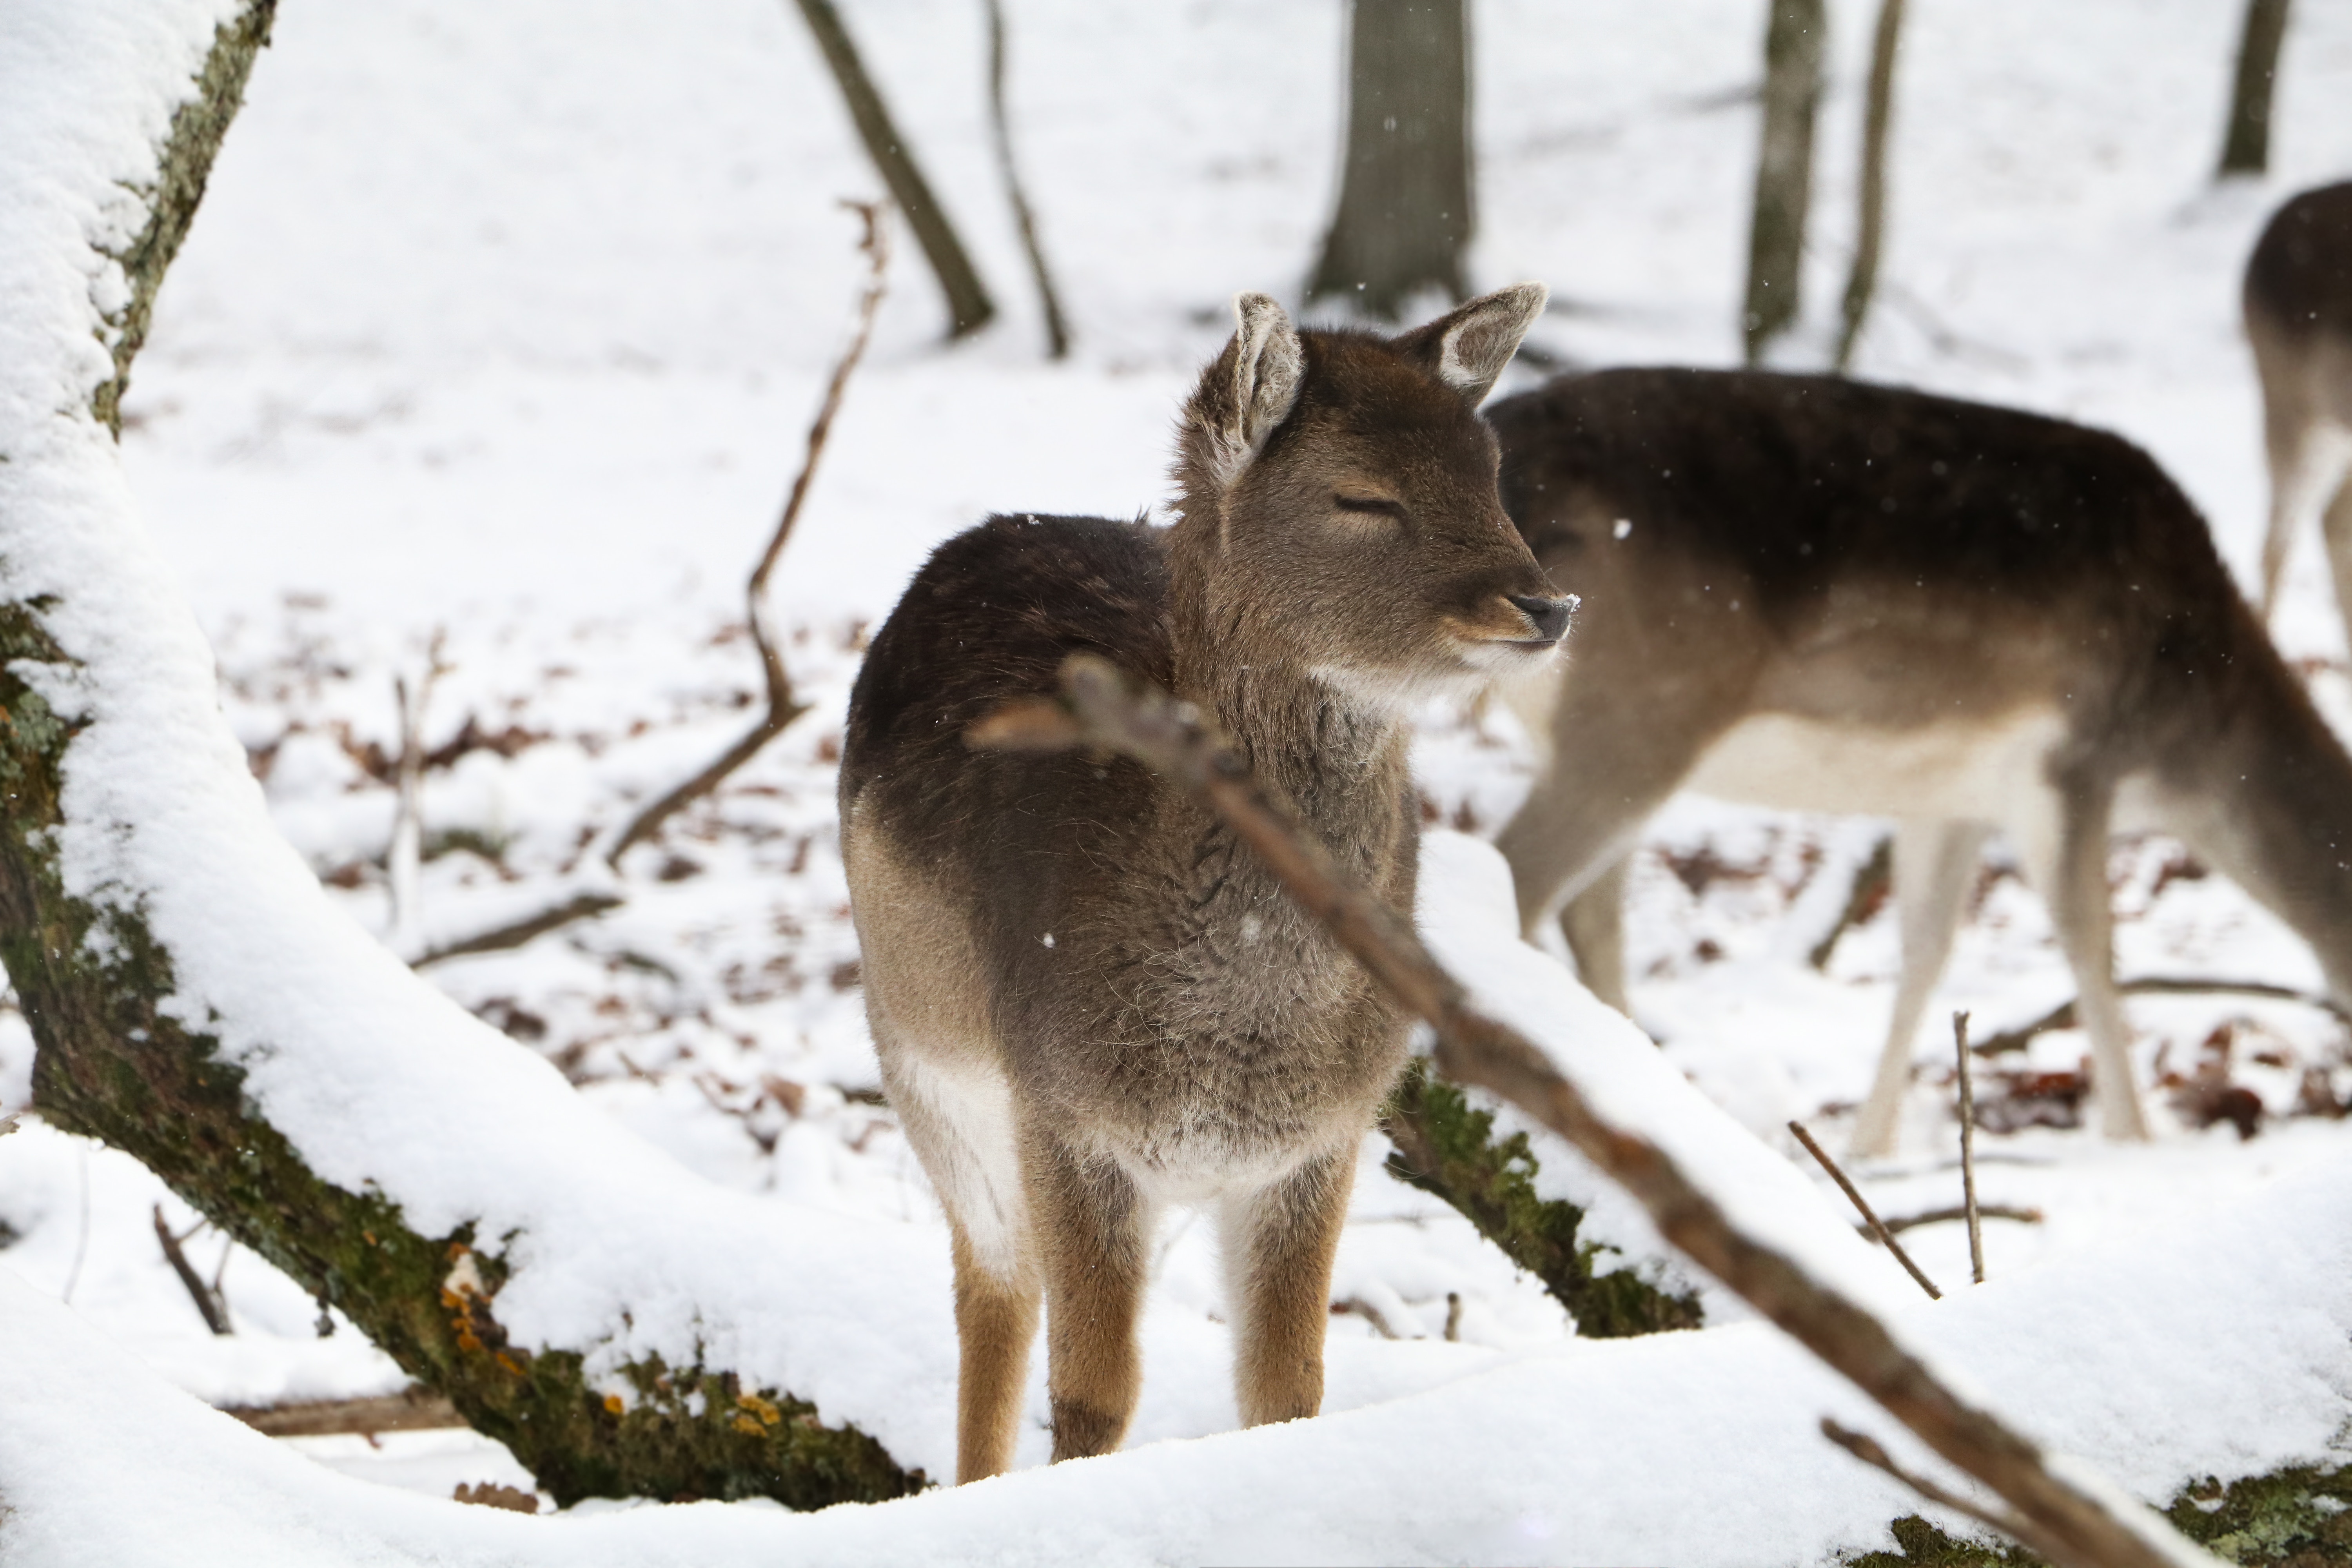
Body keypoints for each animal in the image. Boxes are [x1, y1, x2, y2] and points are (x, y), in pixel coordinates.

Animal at [837, 285, 1571, 1486]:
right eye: (1362, 495)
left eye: (1491, 470)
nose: (1545, 604)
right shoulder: (1063, 1112)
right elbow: (1093, 1392)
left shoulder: (1322, 1137)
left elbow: (1287, 1387)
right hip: (921, 1055)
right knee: (991, 1286)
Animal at [1477, 362, 2352, 1161]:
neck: (2188, 746)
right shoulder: (2074, 764)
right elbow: (2091, 946)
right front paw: (2136, 1140)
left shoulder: (1953, 799)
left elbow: (1926, 951)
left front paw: (1872, 1146)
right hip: (1638, 716)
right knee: (1516, 871)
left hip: (1606, 738)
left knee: (1590, 912)